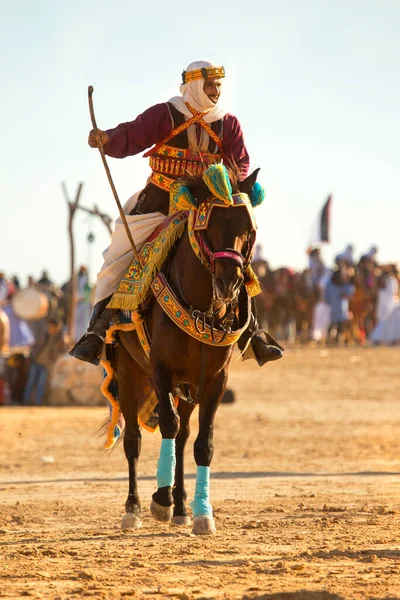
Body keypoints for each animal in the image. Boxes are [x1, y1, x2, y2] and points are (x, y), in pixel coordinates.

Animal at [110, 166, 260, 536]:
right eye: (209, 226)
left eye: (248, 229)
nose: (228, 283)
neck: (203, 306)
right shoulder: (160, 370)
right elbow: (166, 423)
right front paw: (159, 500)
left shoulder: (215, 380)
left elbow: (202, 444)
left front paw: (202, 513)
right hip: (129, 375)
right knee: (134, 438)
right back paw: (135, 508)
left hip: (189, 386)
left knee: (182, 437)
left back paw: (180, 508)